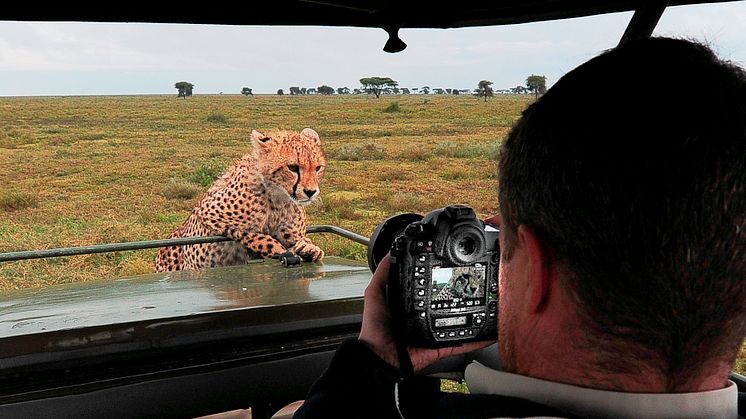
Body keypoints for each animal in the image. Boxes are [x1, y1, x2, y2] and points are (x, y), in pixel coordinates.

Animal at [153, 128, 324, 272]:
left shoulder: (291, 233)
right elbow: (258, 236)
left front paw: (309, 248)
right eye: (293, 168)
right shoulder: (209, 215)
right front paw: (279, 250)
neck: (278, 196)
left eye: (318, 168)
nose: (311, 192)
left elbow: (301, 240)